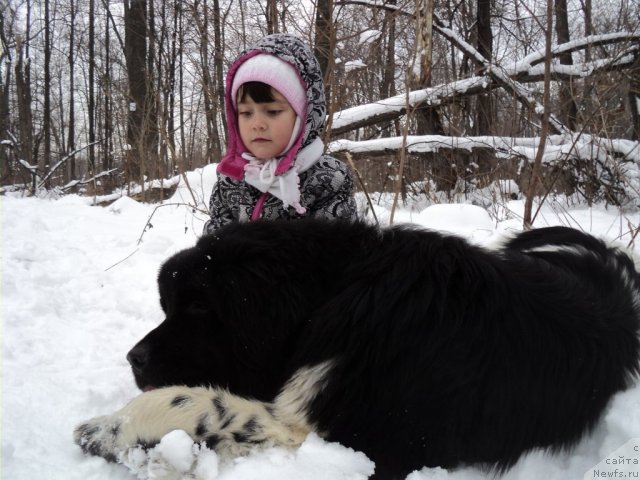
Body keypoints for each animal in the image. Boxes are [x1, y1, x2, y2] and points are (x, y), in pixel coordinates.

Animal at [75, 219, 640, 478]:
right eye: (168, 305)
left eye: (197, 309)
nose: (134, 358)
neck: (332, 291)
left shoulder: (363, 439)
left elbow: (202, 402)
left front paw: (114, 427)